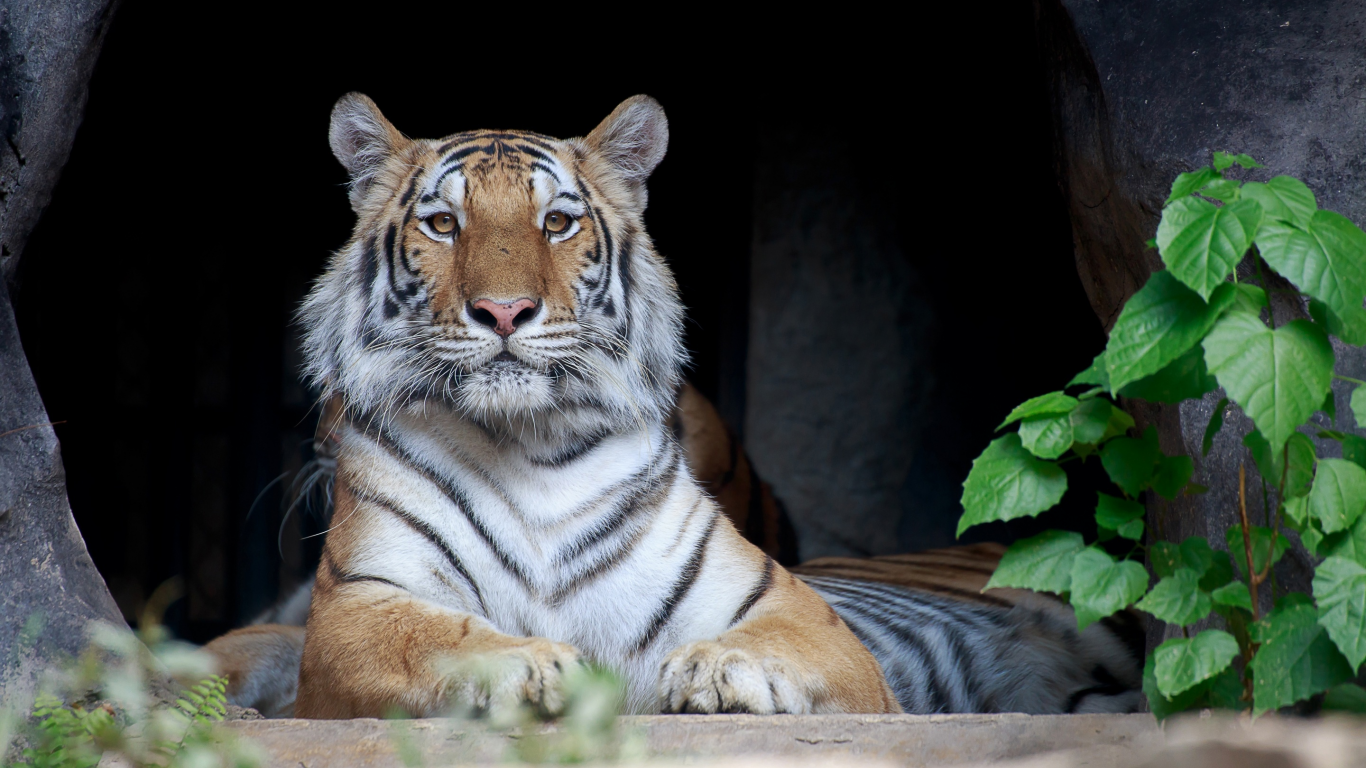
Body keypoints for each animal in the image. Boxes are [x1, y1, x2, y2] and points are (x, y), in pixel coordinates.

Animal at [202, 94, 1141, 716]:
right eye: (442, 224)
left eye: (557, 223)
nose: (504, 311)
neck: (526, 443)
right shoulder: (358, 606)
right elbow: (436, 637)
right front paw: (533, 668)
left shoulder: (794, 610)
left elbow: (775, 639)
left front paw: (718, 674)